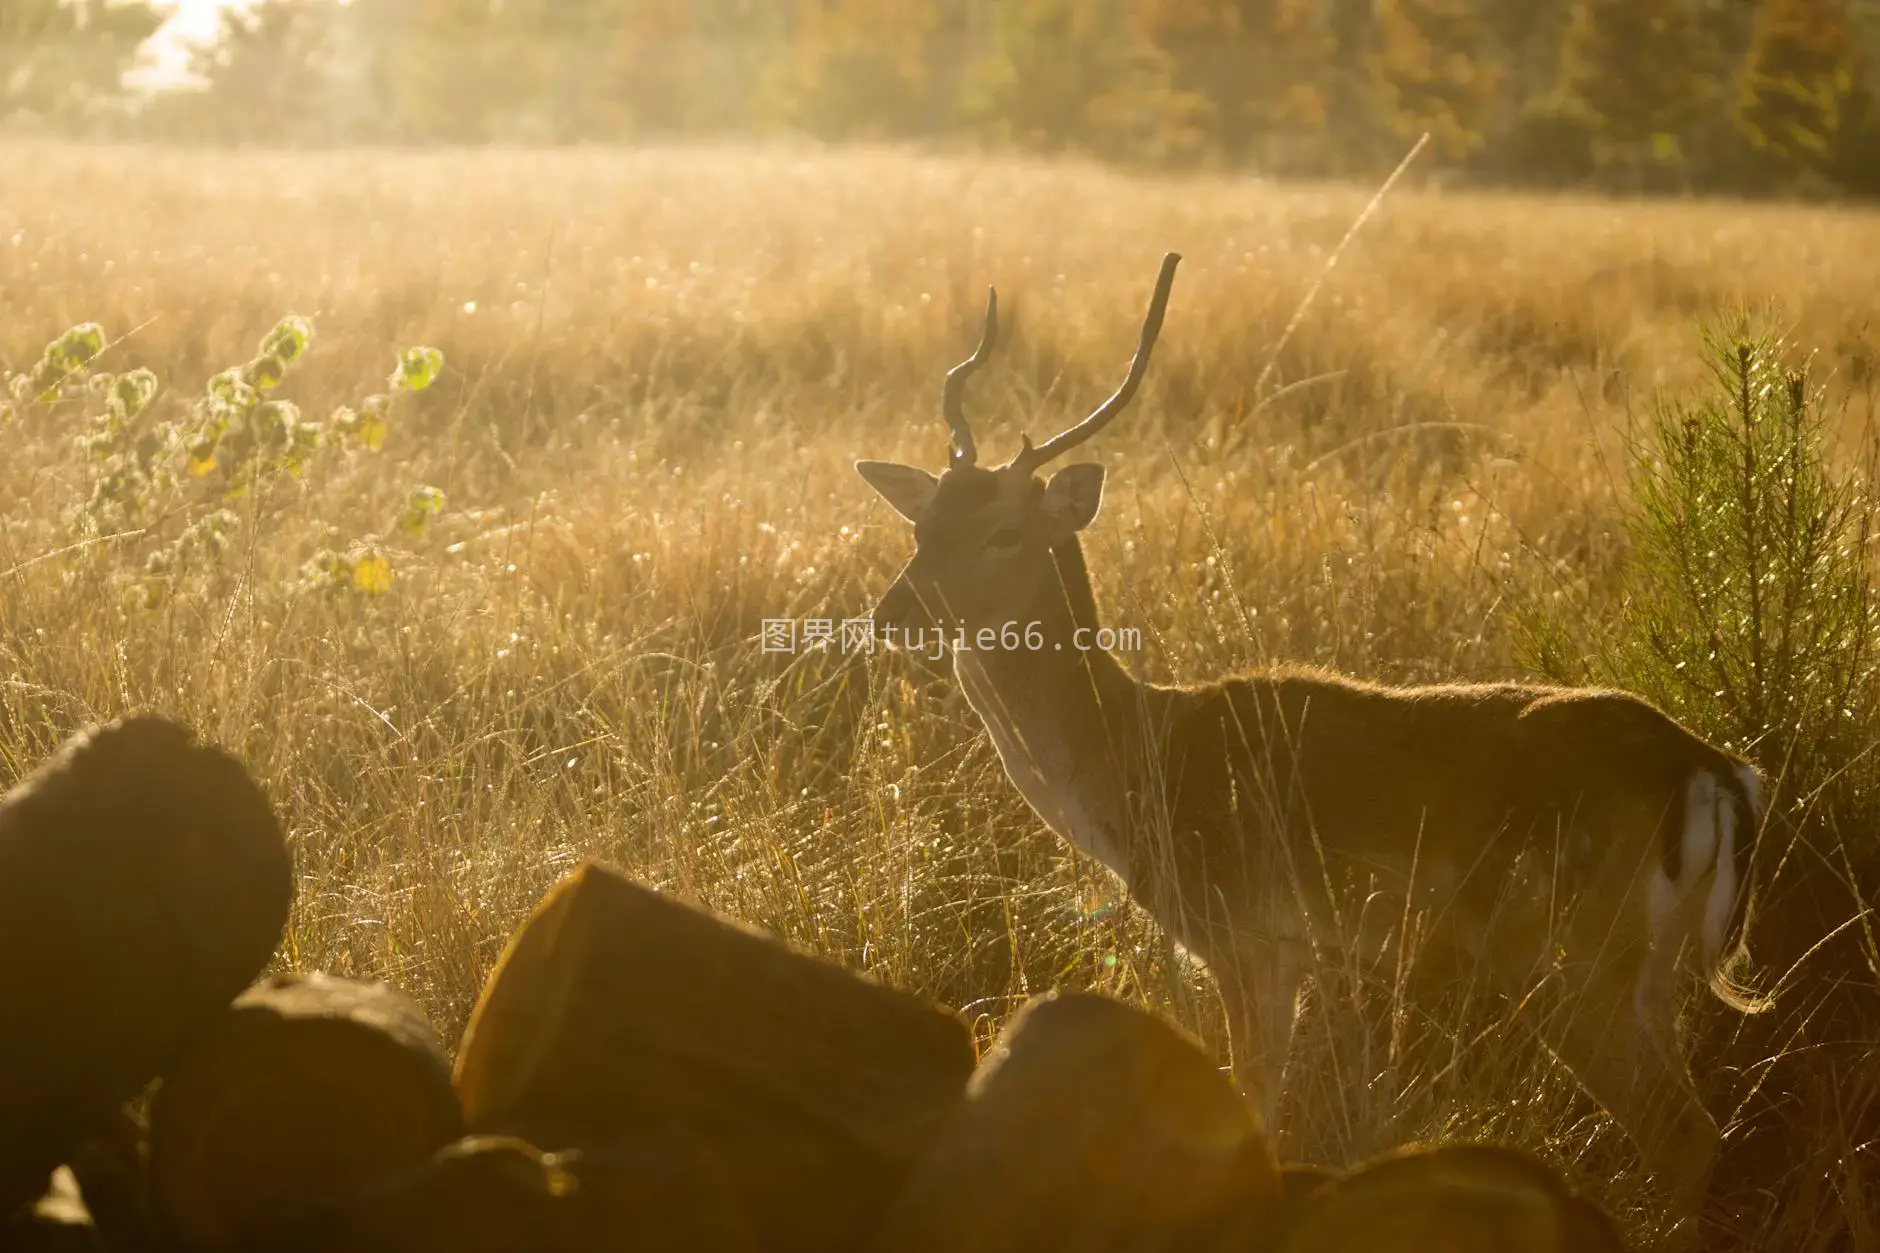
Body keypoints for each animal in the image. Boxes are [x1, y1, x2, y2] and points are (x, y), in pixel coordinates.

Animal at [861, 252, 1767, 1219]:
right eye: (921, 523)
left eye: (1005, 530)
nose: (894, 612)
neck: (1137, 761)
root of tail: (1713, 771)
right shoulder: (1294, 948)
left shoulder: (1242, 932)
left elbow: (1248, 1101)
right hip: (1646, 971)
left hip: (1572, 956)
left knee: (1680, 1132)